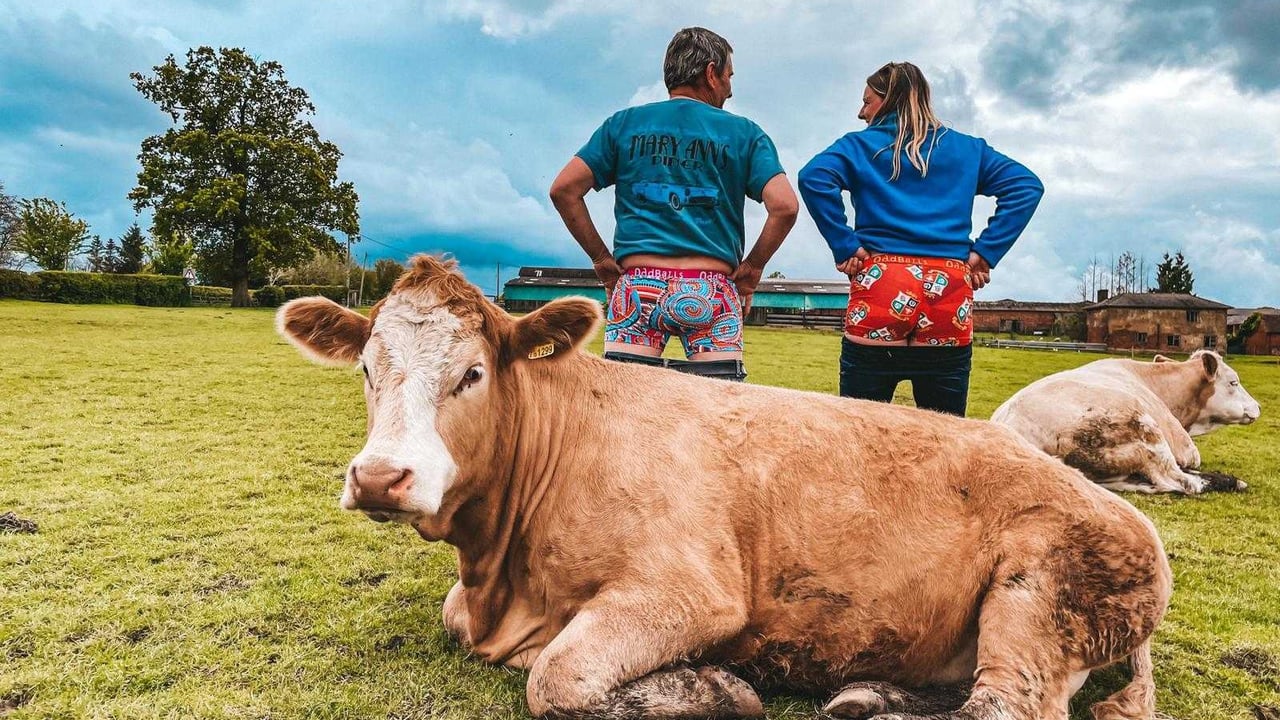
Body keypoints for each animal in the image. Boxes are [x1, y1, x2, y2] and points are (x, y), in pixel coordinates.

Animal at [276, 255, 1171, 720]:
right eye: (365, 370)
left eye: (472, 372)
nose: (380, 477)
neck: (506, 569)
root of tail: (1114, 507)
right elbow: (464, 623)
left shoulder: (689, 592)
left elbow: (557, 681)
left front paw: (707, 687)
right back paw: (870, 695)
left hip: (1040, 594)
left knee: (1004, 708)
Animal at [991, 351, 1261, 494]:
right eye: (1233, 382)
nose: (1258, 406)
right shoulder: (1185, 449)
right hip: (1145, 431)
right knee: (1181, 482)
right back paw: (1234, 481)